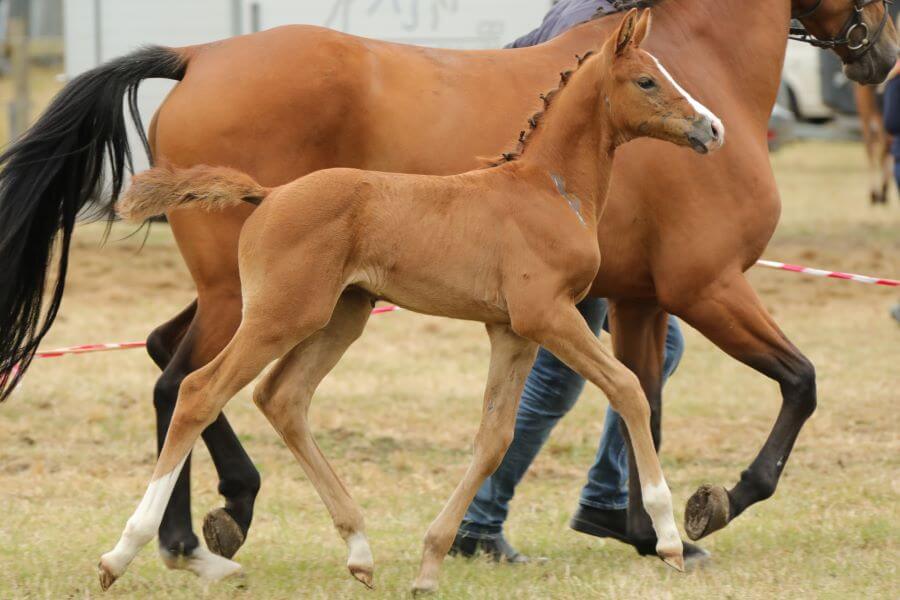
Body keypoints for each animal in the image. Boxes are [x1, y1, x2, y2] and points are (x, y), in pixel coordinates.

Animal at [102, 10, 720, 596]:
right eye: (647, 79)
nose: (712, 128)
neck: (546, 189)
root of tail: (268, 194)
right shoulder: (547, 315)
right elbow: (629, 388)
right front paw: (669, 540)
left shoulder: (511, 331)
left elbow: (495, 438)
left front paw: (429, 565)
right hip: (279, 315)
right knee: (198, 390)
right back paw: (124, 553)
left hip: (342, 316)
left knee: (282, 398)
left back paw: (359, 551)